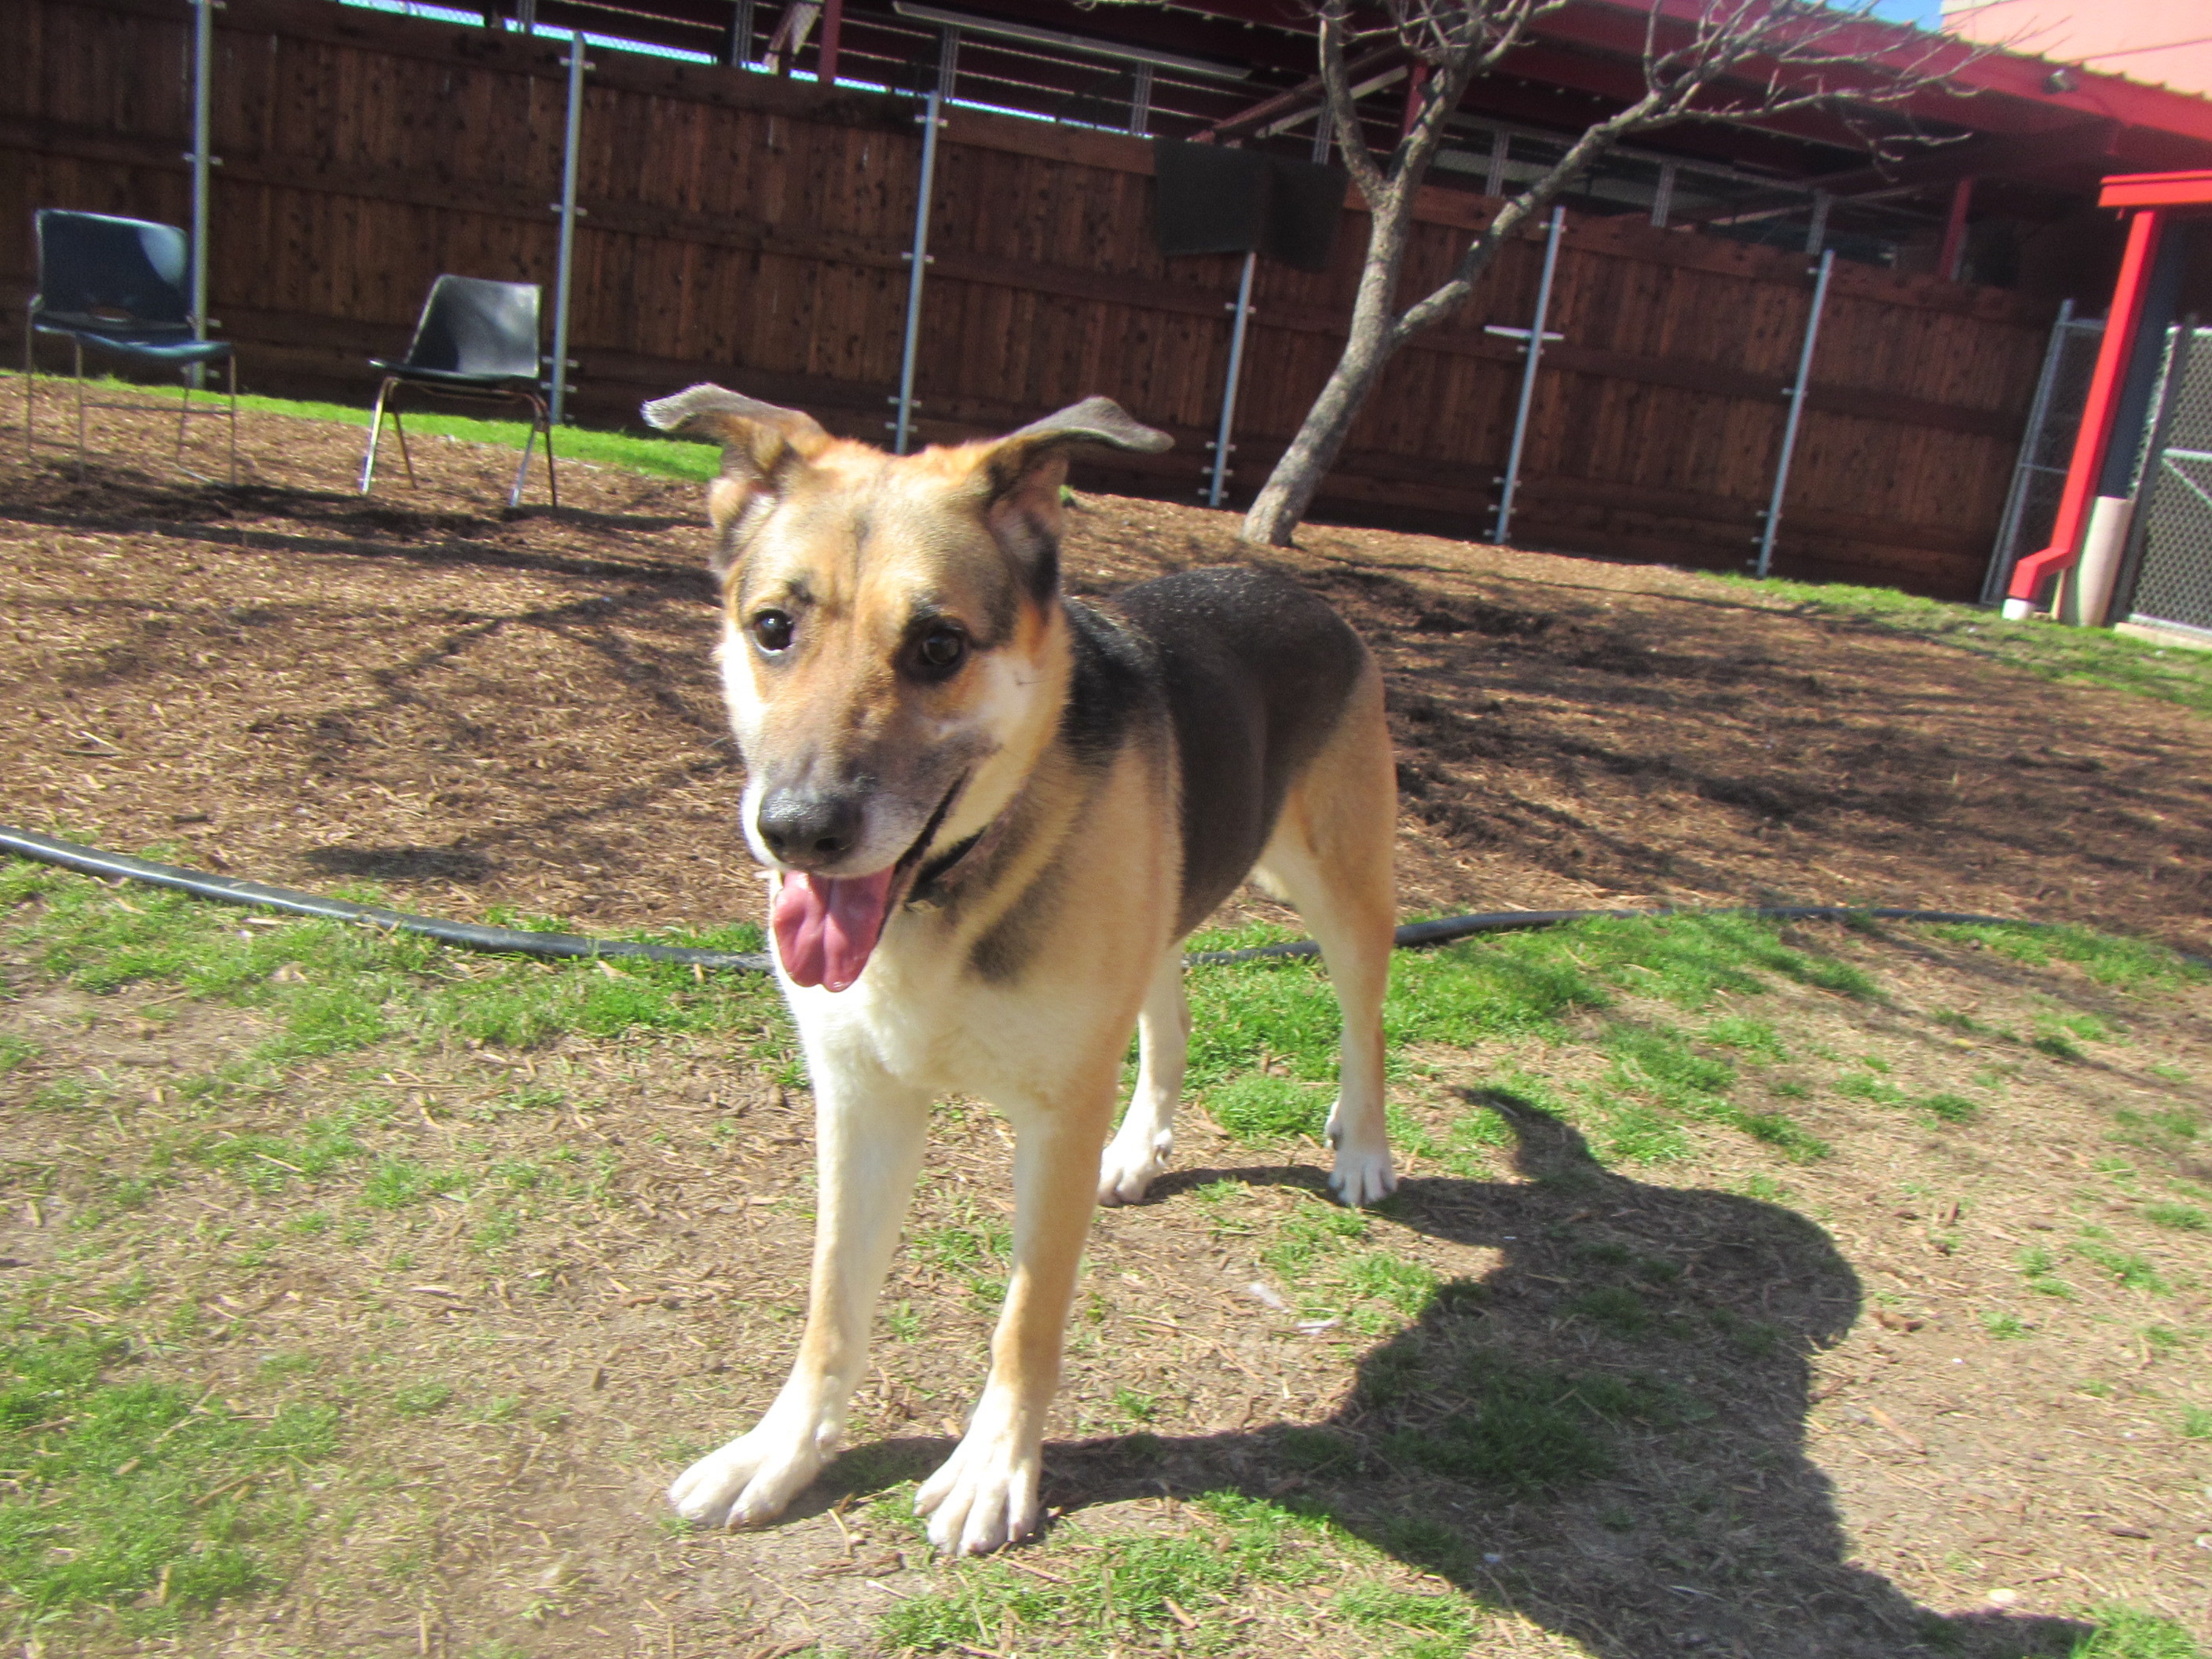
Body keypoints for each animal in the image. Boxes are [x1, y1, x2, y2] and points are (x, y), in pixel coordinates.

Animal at [646, 386, 1397, 1557]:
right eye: (773, 627)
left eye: (937, 643)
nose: (798, 830)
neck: (944, 889)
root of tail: (1289, 586)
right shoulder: (860, 1101)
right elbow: (829, 1308)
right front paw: (780, 1452)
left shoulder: (1054, 1116)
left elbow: (1025, 1320)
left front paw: (992, 1470)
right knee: (1169, 1011)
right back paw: (1138, 1146)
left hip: (1340, 892)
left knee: (1363, 1021)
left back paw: (1361, 1146)